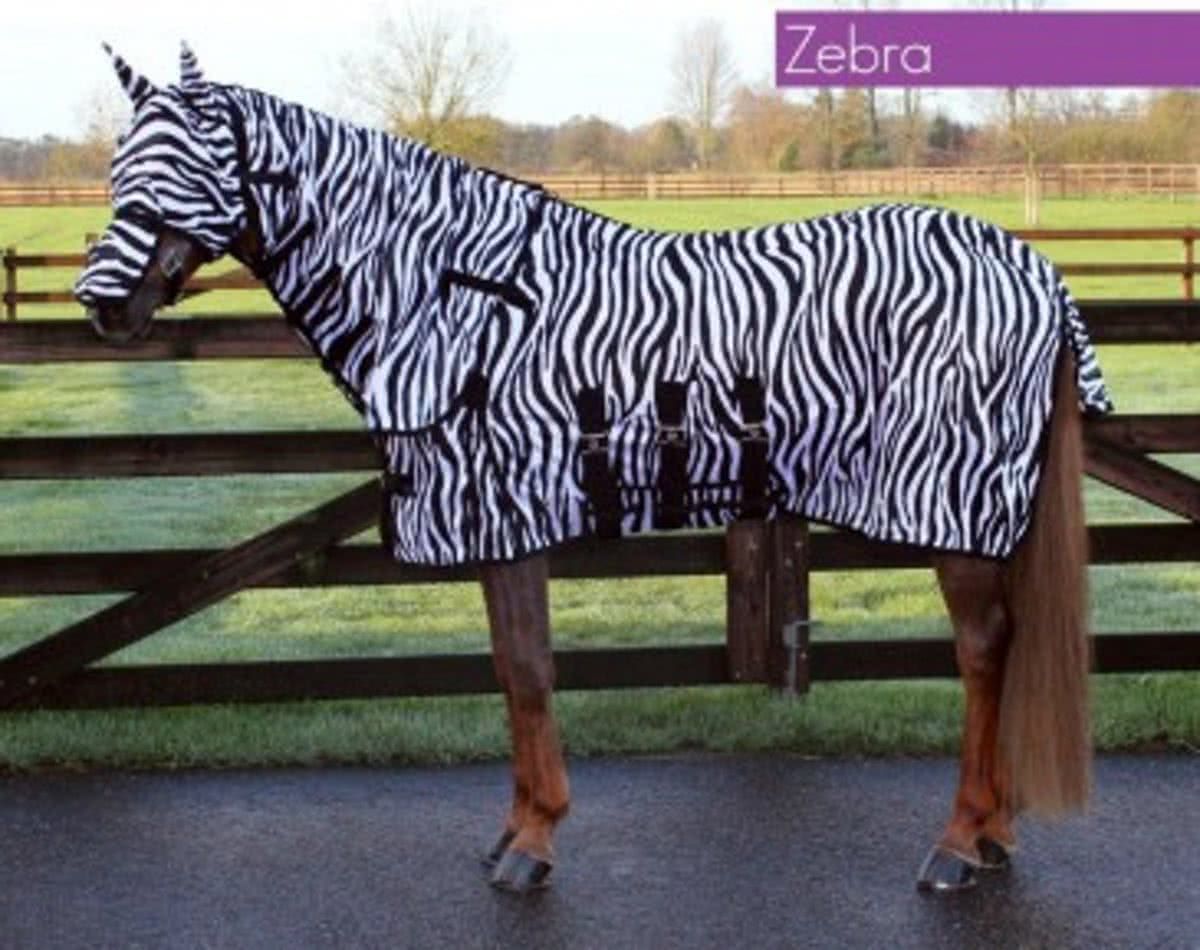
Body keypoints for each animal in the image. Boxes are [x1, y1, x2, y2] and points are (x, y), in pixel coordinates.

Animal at [76, 44, 1109, 895]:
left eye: (178, 167)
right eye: (121, 169)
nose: (102, 304)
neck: (455, 300)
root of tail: (1033, 269)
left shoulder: (507, 511)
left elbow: (531, 670)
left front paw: (534, 844)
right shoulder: (494, 520)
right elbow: (509, 668)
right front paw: (516, 829)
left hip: (958, 508)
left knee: (986, 651)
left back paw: (960, 843)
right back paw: (994, 836)